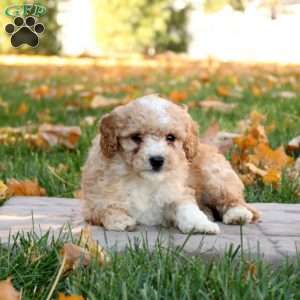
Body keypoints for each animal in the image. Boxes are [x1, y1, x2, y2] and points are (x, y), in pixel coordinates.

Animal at [81, 95, 260, 233]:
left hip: (216, 177)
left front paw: (201, 224)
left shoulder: (178, 190)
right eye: (136, 137)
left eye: (171, 137)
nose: (157, 160)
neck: (142, 179)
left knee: (235, 200)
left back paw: (237, 214)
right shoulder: (94, 201)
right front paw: (120, 220)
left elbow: (187, 208)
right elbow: (106, 208)